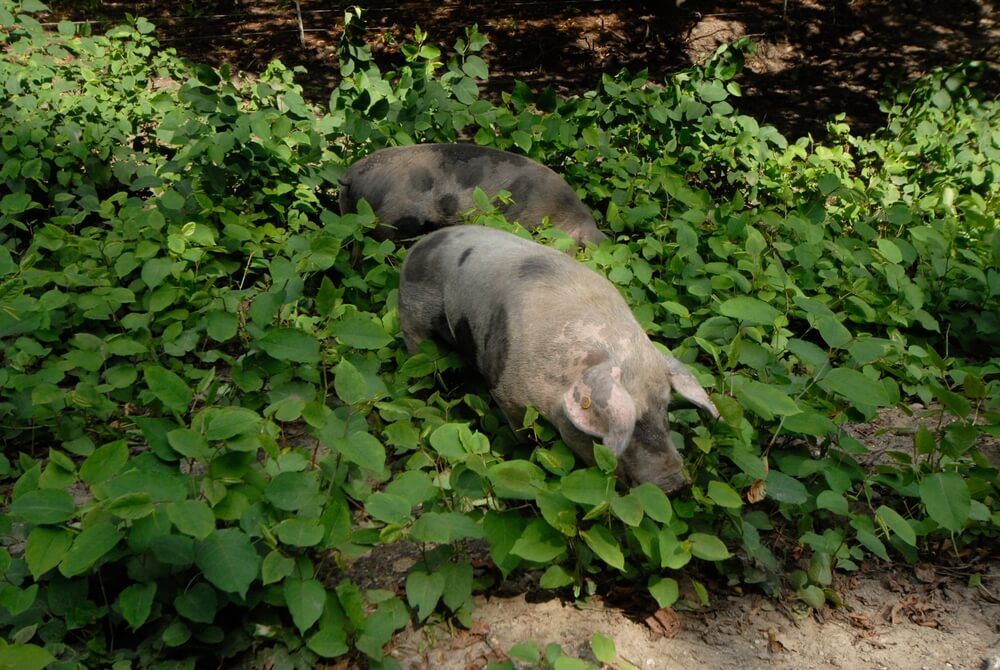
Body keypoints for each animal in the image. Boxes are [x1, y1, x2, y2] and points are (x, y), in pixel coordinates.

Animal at [398, 226, 720, 494]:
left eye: (664, 409)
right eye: (626, 425)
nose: (676, 483)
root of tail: (418, 245)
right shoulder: (505, 392)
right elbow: (523, 432)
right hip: (412, 318)